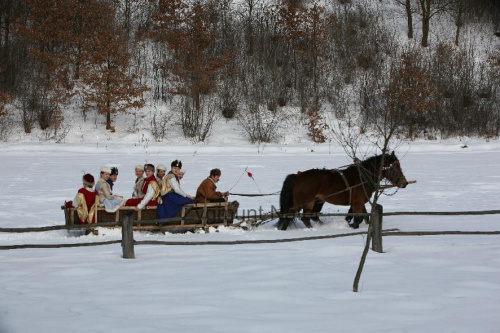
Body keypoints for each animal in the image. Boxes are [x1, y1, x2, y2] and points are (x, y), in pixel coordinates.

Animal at [276, 152, 408, 230]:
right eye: (394, 167)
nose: (405, 183)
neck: (363, 177)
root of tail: (298, 176)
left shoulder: (358, 202)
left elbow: (364, 217)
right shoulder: (358, 202)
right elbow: (358, 218)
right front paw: (354, 226)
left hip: (316, 201)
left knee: (309, 216)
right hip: (304, 201)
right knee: (296, 216)